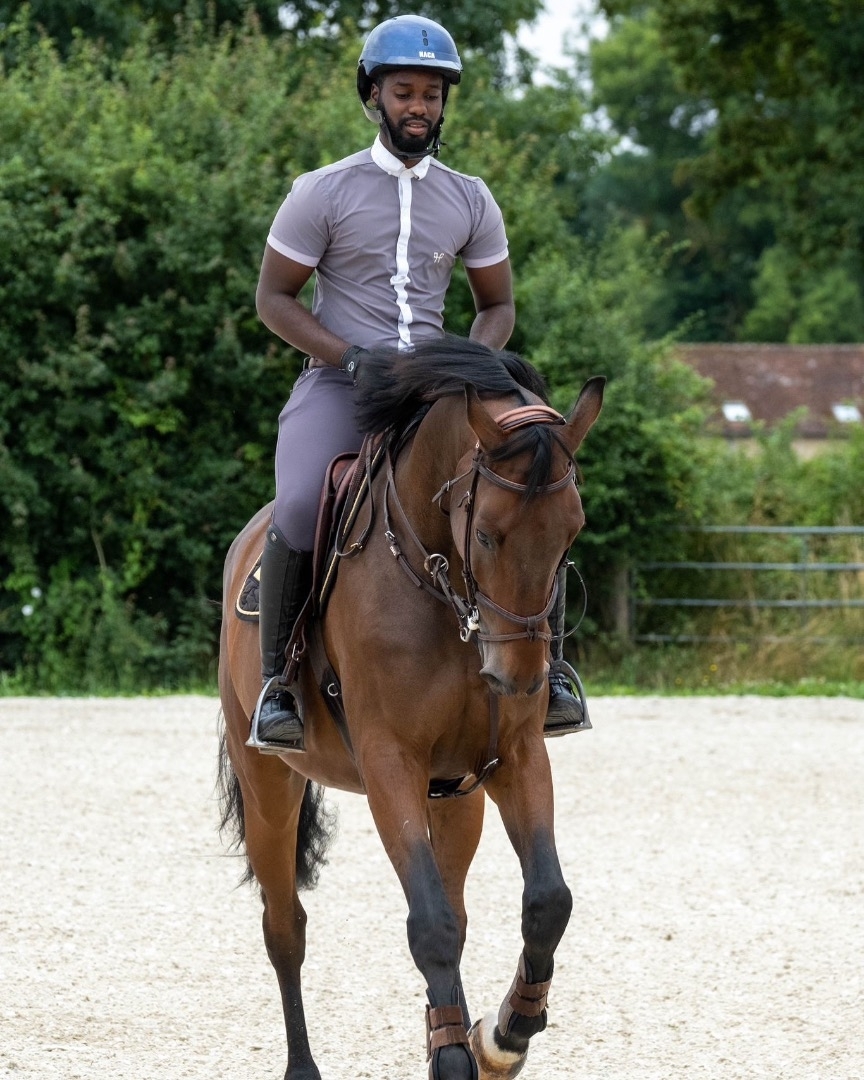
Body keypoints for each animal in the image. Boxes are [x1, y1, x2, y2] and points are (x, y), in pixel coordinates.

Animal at [218, 336, 605, 1080]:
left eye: (570, 534)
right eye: (486, 535)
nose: (517, 677)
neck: (443, 589)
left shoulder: (515, 757)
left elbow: (548, 900)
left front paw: (503, 1035)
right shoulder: (388, 764)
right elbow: (429, 924)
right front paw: (462, 1053)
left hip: (456, 795)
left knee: (455, 902)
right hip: (270, 786)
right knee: (285, 926)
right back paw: (306, 1066)